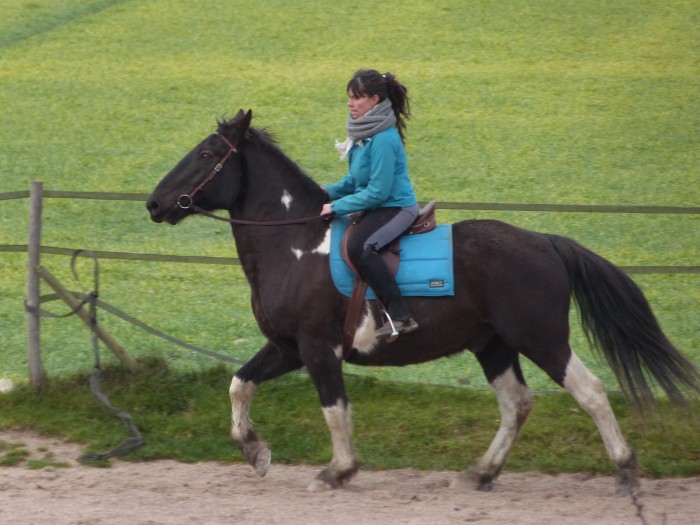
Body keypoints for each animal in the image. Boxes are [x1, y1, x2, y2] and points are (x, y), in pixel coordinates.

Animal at [145, 108, 696, 494]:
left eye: (205, 154)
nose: (154, 203)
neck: (295, 243)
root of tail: (546, 241)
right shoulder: (288, 348)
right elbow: (240, 384)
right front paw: (255, 450)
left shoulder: (319, 348)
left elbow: (334, 409)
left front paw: (338, 472)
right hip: (493, 346)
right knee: (517, 404)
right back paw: (480, 474)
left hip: (541, 339)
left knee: (591, 392)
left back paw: (625, 470)